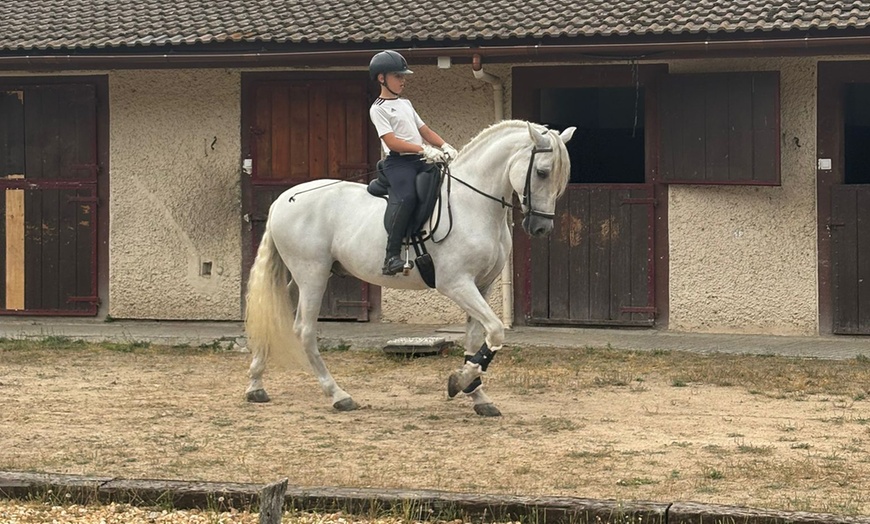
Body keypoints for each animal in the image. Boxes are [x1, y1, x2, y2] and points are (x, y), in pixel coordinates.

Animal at [242, 119, 576, 418]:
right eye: (542, 172)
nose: (541, 228)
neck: (474, 204)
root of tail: (283, 200)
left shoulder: (483, 286)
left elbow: (475, 339)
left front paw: (477, 395)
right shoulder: (457, 284)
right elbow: (495, 331)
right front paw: (460, 382)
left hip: (304, 276)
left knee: (276, 312)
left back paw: (256, 385)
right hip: (312, 275)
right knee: (305, 330)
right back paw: (338, 395)